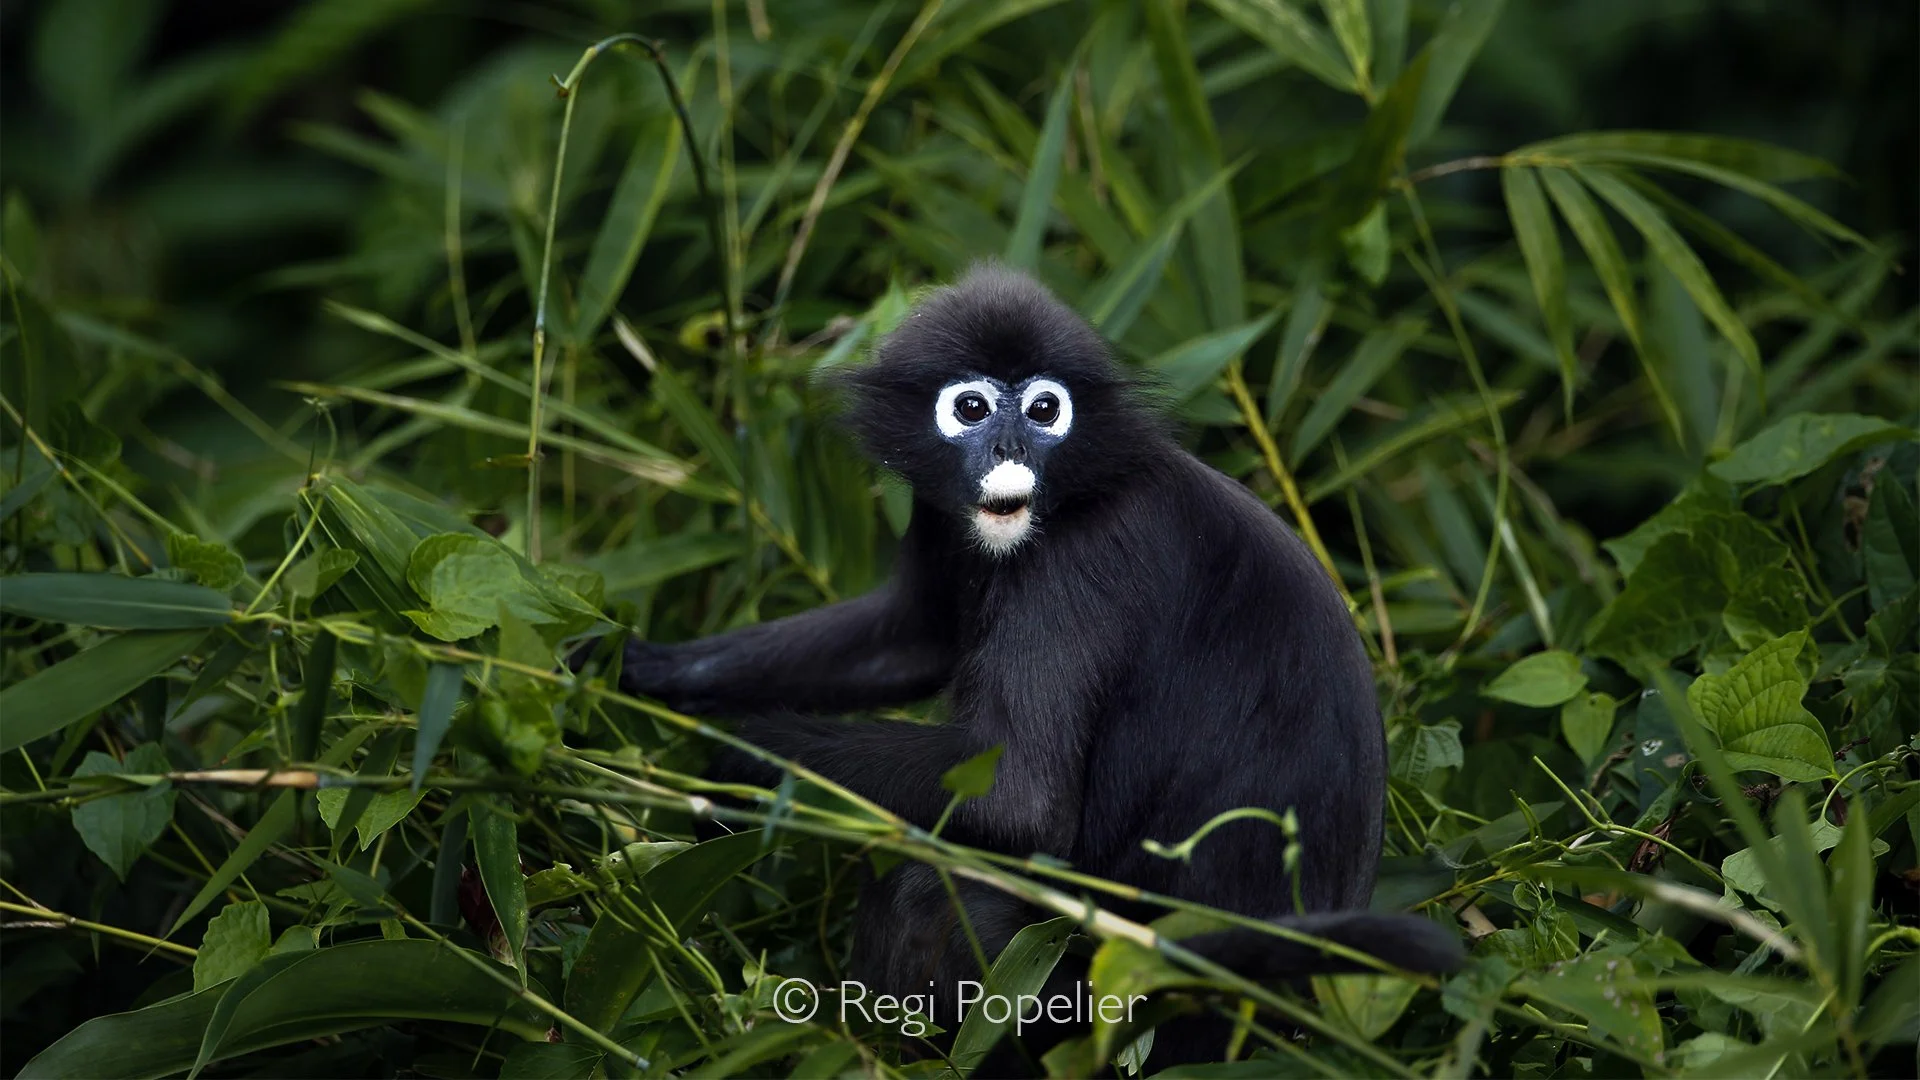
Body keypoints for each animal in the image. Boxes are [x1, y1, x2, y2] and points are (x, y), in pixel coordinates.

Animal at [587, 264, 1462, 1069]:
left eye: (1045, 410)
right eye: (971, 407)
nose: (1010, 448)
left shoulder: (1081, 559)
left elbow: (1018, 801)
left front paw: (742, 759)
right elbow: (909, 642)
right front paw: (629, 667)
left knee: (942, 889)